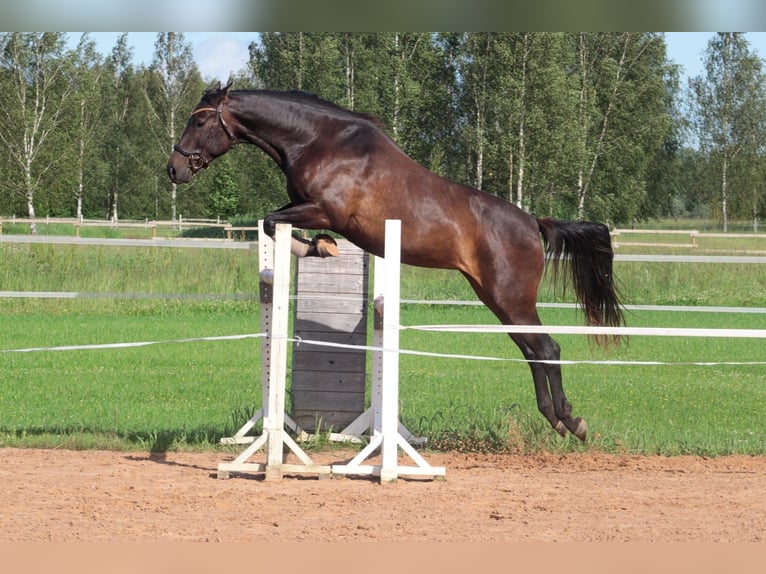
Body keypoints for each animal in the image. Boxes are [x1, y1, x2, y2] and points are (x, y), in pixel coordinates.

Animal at [167, 81, 624, 441]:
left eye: (199, 122)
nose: (174, 170)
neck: (318, 142)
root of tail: (533, 222)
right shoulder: (304, 207)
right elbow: (271, 220)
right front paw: (321, 247)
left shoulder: (324, 211)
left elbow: (270, 220)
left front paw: (319, 247)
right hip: (497, 299)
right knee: (533, 350)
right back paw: (557, 420)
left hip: (510, 297)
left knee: (547, 347)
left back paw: (571, 421)